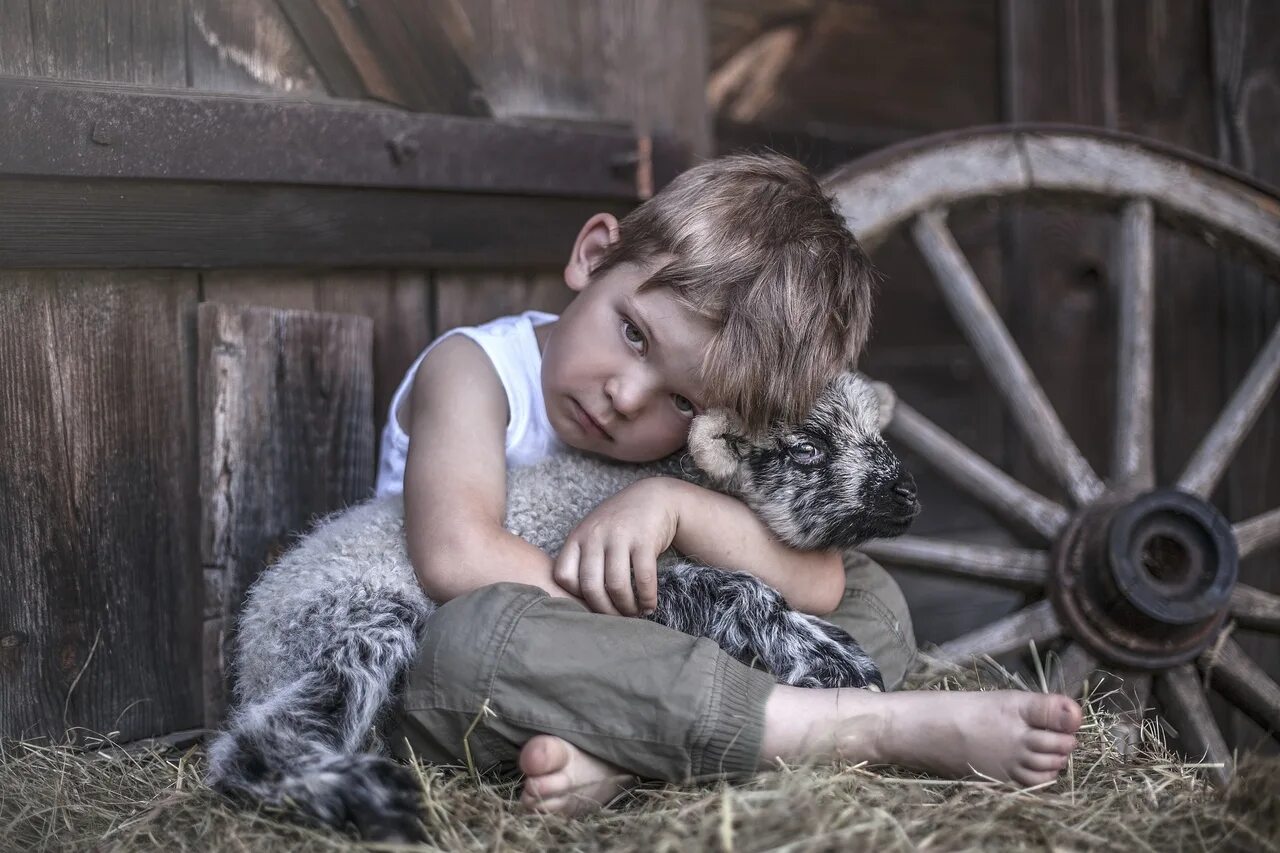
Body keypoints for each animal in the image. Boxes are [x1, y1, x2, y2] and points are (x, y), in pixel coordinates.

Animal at [204, 371, 916, 835]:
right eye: (807, 447)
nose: (906, 495)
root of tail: (253, 637)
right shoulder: (621, 571)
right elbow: (734, 588)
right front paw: (829, 660)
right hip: (351, 622)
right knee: (256, 739)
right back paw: (360, 794)